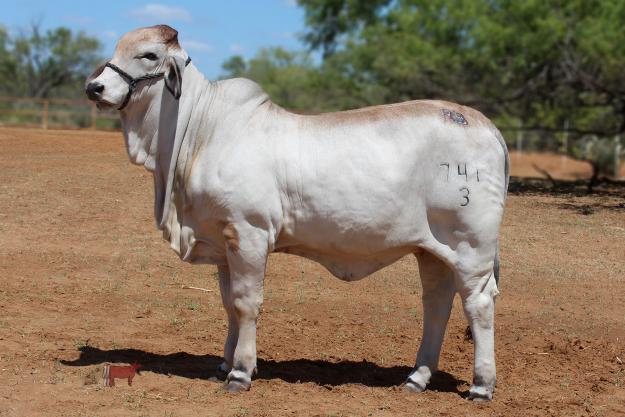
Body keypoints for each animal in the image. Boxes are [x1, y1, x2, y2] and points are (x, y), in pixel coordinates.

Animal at [85, 25, 509, 400]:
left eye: (148, 55)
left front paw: (240, 372)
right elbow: (227, 303)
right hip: (432, 250)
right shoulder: (224, 241)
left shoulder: (249, 232)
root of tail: (486, 126)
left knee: (479, 304)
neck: (198, 130)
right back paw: (416, 378)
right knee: (437, 304)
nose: (95, 87)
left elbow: (246, 302)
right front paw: (224, 363)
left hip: (472, 246)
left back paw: (481, 386)